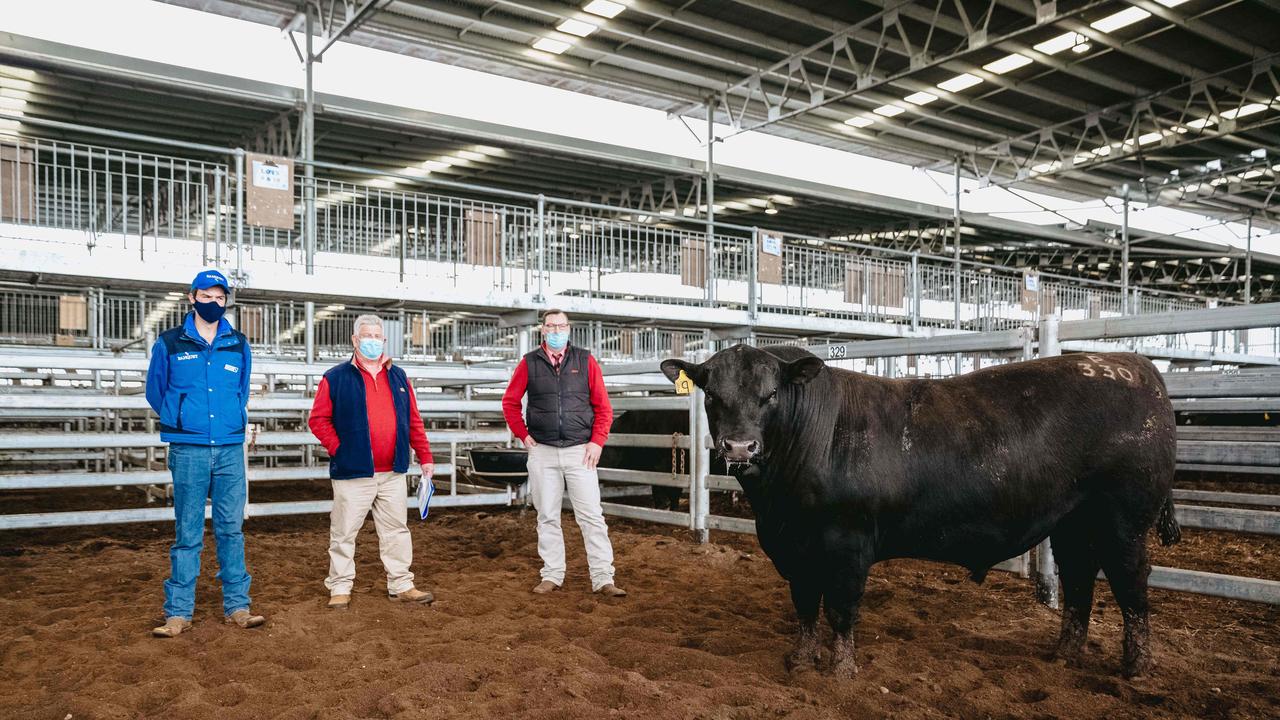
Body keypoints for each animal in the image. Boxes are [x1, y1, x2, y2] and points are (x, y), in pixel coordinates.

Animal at [660, 345, 1177, 676]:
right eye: (712, 395)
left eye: (769, 396)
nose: (740, 447)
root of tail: (1134, 365)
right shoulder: (793, 548)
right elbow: (805, 606)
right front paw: (801, 661)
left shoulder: (848, 544)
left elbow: (840, 609)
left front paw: (841, 670)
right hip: (1072, 521)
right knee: (1079, 581)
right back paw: (1065, 654)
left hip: (1124, 518)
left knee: (1131, 586)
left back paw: (1137, 666)